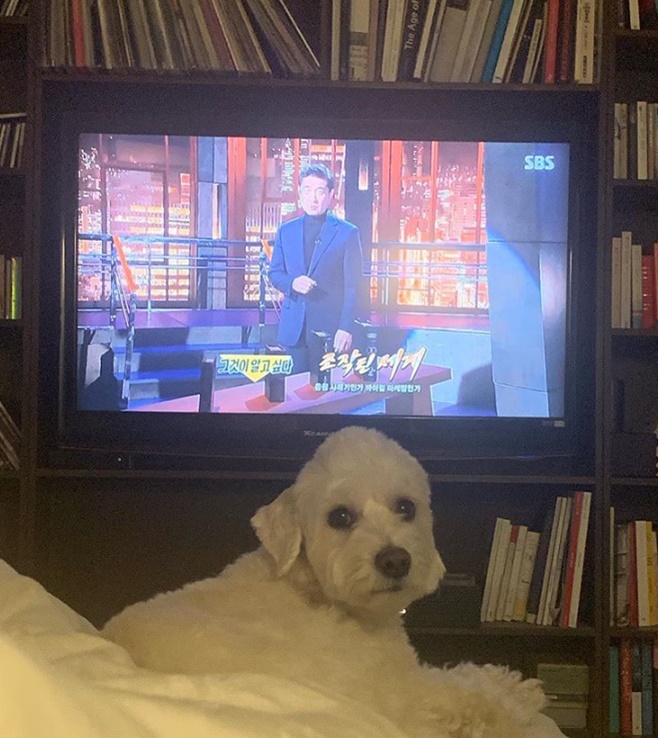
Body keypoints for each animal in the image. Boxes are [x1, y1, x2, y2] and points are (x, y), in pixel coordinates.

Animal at [103, 427, 546, 738]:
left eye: (406, 507)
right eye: (340, 517)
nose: (395, 560)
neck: (316, 589)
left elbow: (466, 675)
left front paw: (516, 687)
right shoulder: (402, 693)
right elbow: (474, 696)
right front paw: (514, 703)